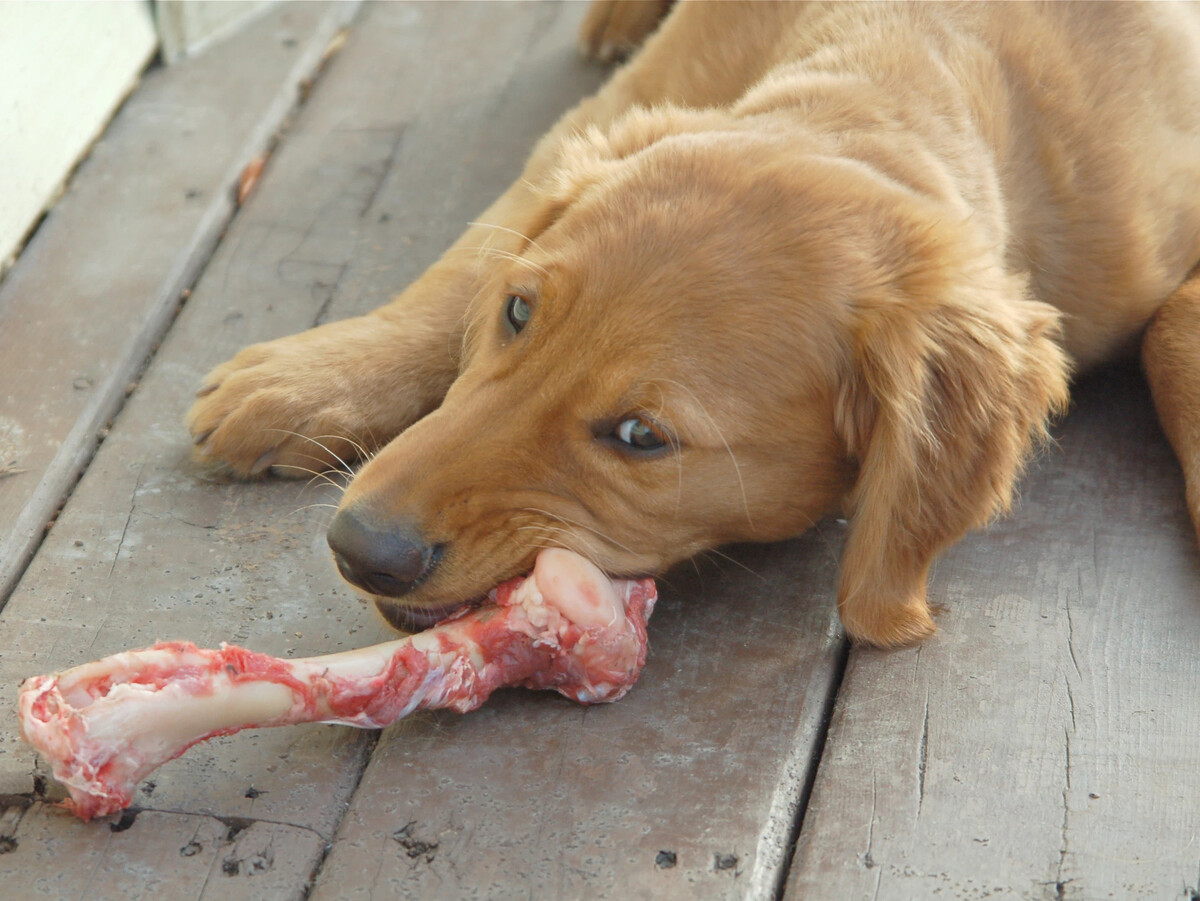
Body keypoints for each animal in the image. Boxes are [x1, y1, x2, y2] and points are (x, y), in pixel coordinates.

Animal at [182, 0, 1200, 647]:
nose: (361, 550)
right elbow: (465, 261)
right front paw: (307, 380)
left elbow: (1171, 329)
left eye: (642, 437)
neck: (896, 78)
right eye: (518, 312)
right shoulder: (617, 109)